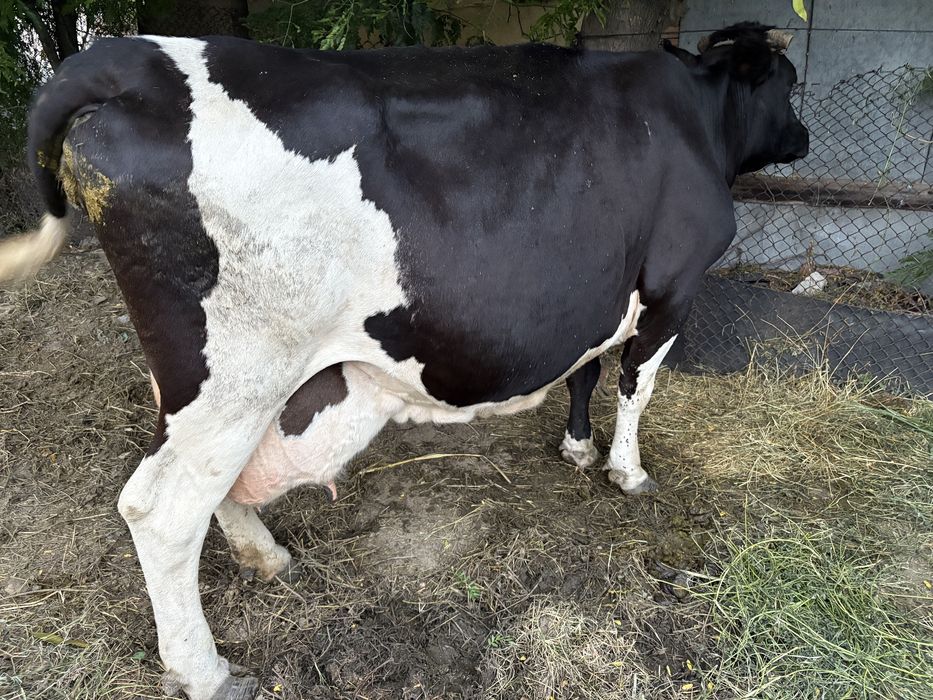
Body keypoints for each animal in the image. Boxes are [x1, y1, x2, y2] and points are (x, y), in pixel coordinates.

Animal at [0, 22, 807, 699]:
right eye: (788, 83)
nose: (801, 137)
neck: (695, 115)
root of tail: (128, 57)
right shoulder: (674, 284)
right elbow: (636, 383)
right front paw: (626, 471)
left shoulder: (598, 294)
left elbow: (587, 368)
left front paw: (578, 448)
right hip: (238, 373)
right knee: (161, 509)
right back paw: (207, 671)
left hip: (200, 384)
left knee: (210, 485)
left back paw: (265, 555)